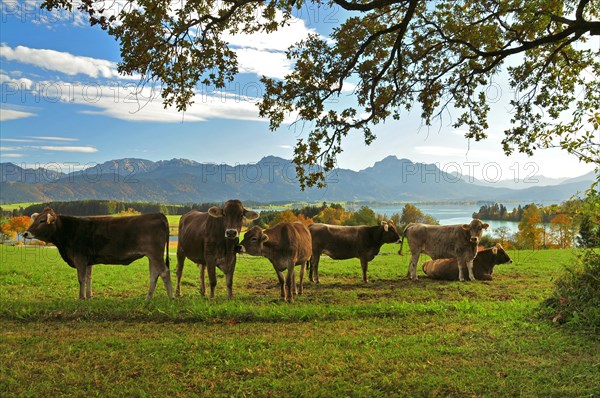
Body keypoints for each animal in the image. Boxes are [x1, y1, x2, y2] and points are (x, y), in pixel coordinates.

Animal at [22, 208, 172, 298]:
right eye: (35, 219)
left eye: (42, 221)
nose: (25, 233)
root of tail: (158, 214)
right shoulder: (88, 260)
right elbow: (89, 278)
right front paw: (89, 297)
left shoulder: (80, 258)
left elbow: (81, 278)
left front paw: (81, 298)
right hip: (151, 256)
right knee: (154, 274)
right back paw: (148, 298)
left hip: (155, 254)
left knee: (164, 272)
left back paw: (171, 298)